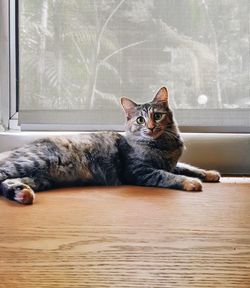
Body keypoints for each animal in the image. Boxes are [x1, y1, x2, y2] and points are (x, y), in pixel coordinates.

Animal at [0, 86, 219, 204]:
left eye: (157, 116)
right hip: (33, 162)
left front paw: (209, 173)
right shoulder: (140, 171)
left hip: (40, 178)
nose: (150, 126)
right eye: (140, 120)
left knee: (6, 184)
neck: (162, 144)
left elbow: (189, 167)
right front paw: (190, 182)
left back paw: (22, 194)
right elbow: (168, 176)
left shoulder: (172, 163)